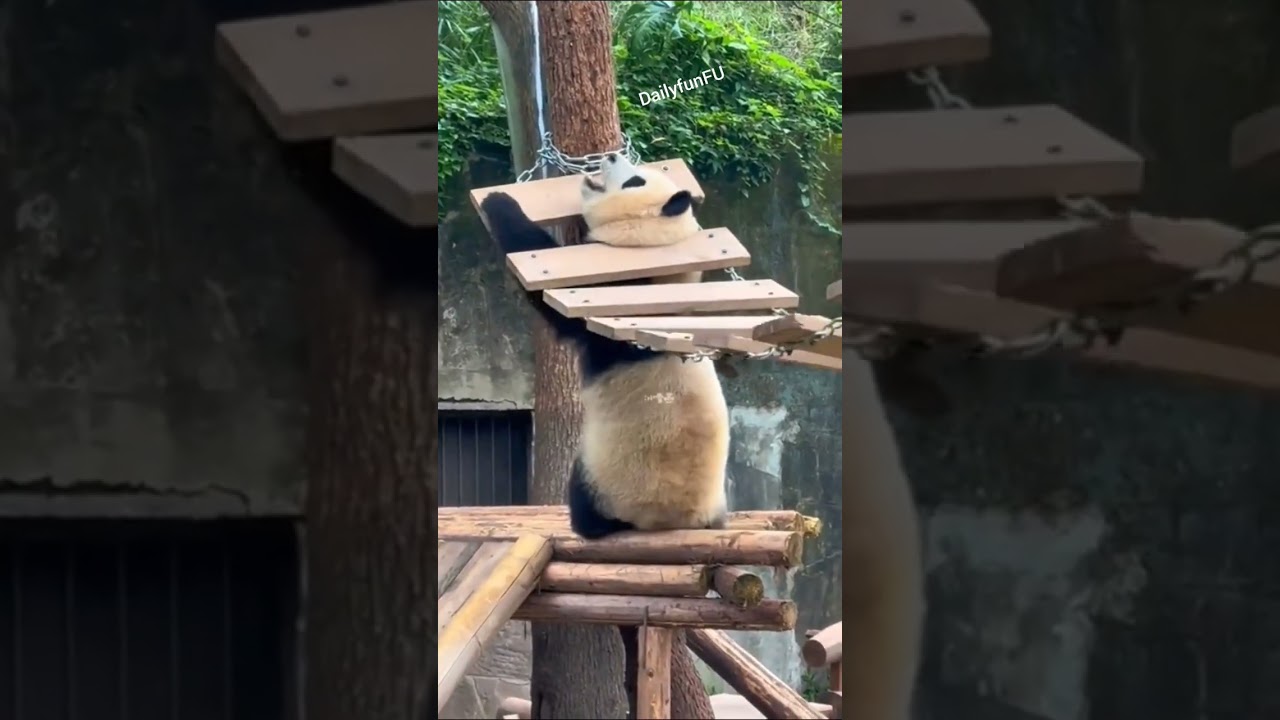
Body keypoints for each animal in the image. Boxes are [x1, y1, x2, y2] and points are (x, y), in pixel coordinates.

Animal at [479, 152, 730, 539]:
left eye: (634, 181)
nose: (611, 155)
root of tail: (677, 522)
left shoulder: (616, 296)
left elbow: (556, 296)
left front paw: (499, 201)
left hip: (614, 475)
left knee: (586, 493)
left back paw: (585, 524)